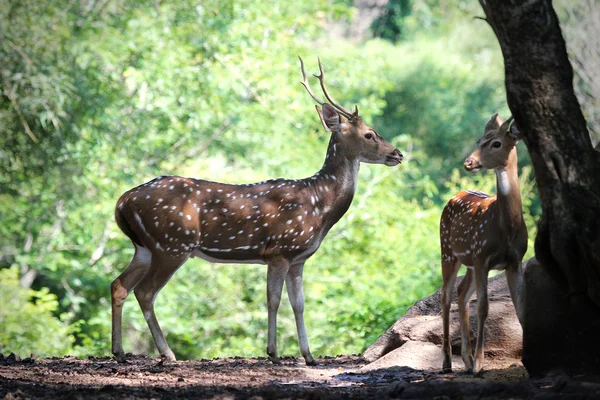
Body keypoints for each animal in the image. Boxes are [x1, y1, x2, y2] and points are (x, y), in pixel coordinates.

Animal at [112, 56, 404, 366]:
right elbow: (273, 300)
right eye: (369, 134)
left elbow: (299, 304)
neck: (320, 205)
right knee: (145, 292)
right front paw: (273, 353)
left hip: (144, 247)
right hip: (172, 244)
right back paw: (167, 353)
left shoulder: (298, 258)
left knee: (119, 285)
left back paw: (119, 351)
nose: (398, 153)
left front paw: (309, 356)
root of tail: (122, 202)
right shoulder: (279, 250)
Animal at [438, 113, 528, 376]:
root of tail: (455, 195)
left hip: (468, 261)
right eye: (479, 140)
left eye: (496, 143)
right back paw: (448, 361)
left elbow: (521, 306)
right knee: (446, 296)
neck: (506, 228)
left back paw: (465, 360)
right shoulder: (482, 257)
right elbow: (484, 307)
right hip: (448, 252)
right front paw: (480, 363)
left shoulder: (514, 260)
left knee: (461, 293)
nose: (468, 162)